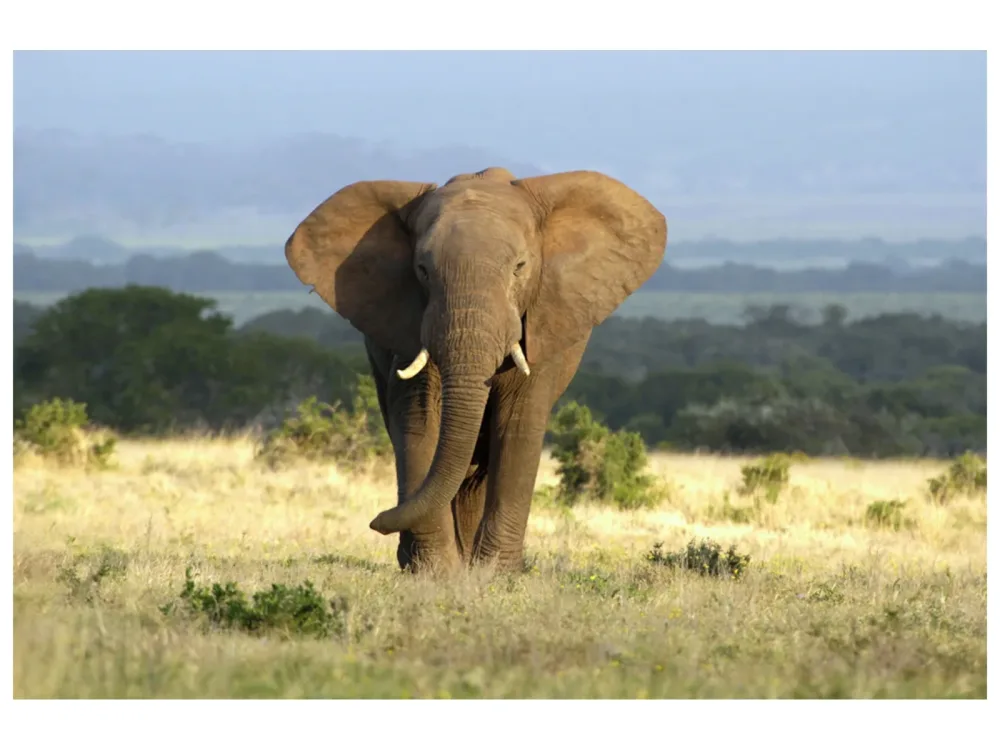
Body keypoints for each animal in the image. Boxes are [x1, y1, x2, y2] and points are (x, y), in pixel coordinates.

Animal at [284, 166, 667, 573]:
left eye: (520, 268)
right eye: (422, 270)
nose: (377, 520)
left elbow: (517, 426)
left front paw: (494, 575)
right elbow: (419, 420)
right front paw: (436, 572)